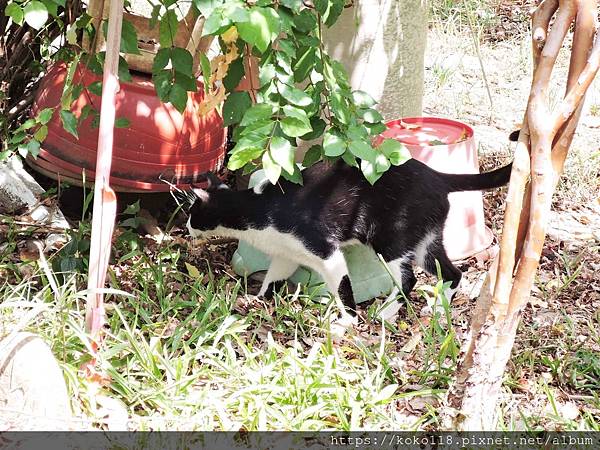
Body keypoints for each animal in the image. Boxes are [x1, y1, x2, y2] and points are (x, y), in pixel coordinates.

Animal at [186, 156, 510, 328]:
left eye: (191, 213)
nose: (187, 227)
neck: (256, 210)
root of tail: (438, 176)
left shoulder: (324, 250)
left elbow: (342, 286)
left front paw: (349, 320)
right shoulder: (286, 253)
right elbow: (274, 277)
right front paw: (258, 298)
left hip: (391, 238)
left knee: (409, 280)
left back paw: (387, 311)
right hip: (425, 241)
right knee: (453, 272)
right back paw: (438, 308)